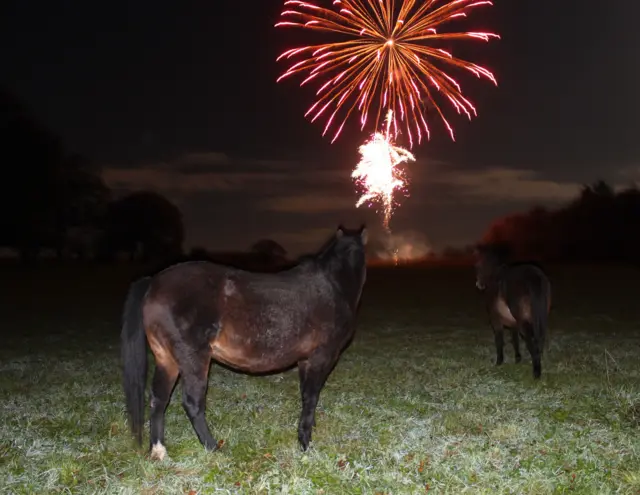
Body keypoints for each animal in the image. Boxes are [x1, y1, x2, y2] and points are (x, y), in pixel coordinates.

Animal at [120, 225, 368, 462]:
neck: (334, 286)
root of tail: (153, 282)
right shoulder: (321, 357)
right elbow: (311, 396)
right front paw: (305, 441)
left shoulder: (306, 360)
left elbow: (307, 395)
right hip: (193, 359)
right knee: (192, 403)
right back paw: (213, 448)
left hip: (167, 359)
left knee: (158, 400)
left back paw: (159, 450)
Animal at [476, 244, 552, 380]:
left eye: (478, 265)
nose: (478, 284)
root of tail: (535, 276)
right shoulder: (513, 324)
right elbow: (515, 340)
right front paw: (517, 360)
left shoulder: (496, 321)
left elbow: (499, 340)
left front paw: (499, 362)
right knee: (539, 342)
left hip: (524, 323)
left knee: (531, 343)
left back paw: (536, 373)